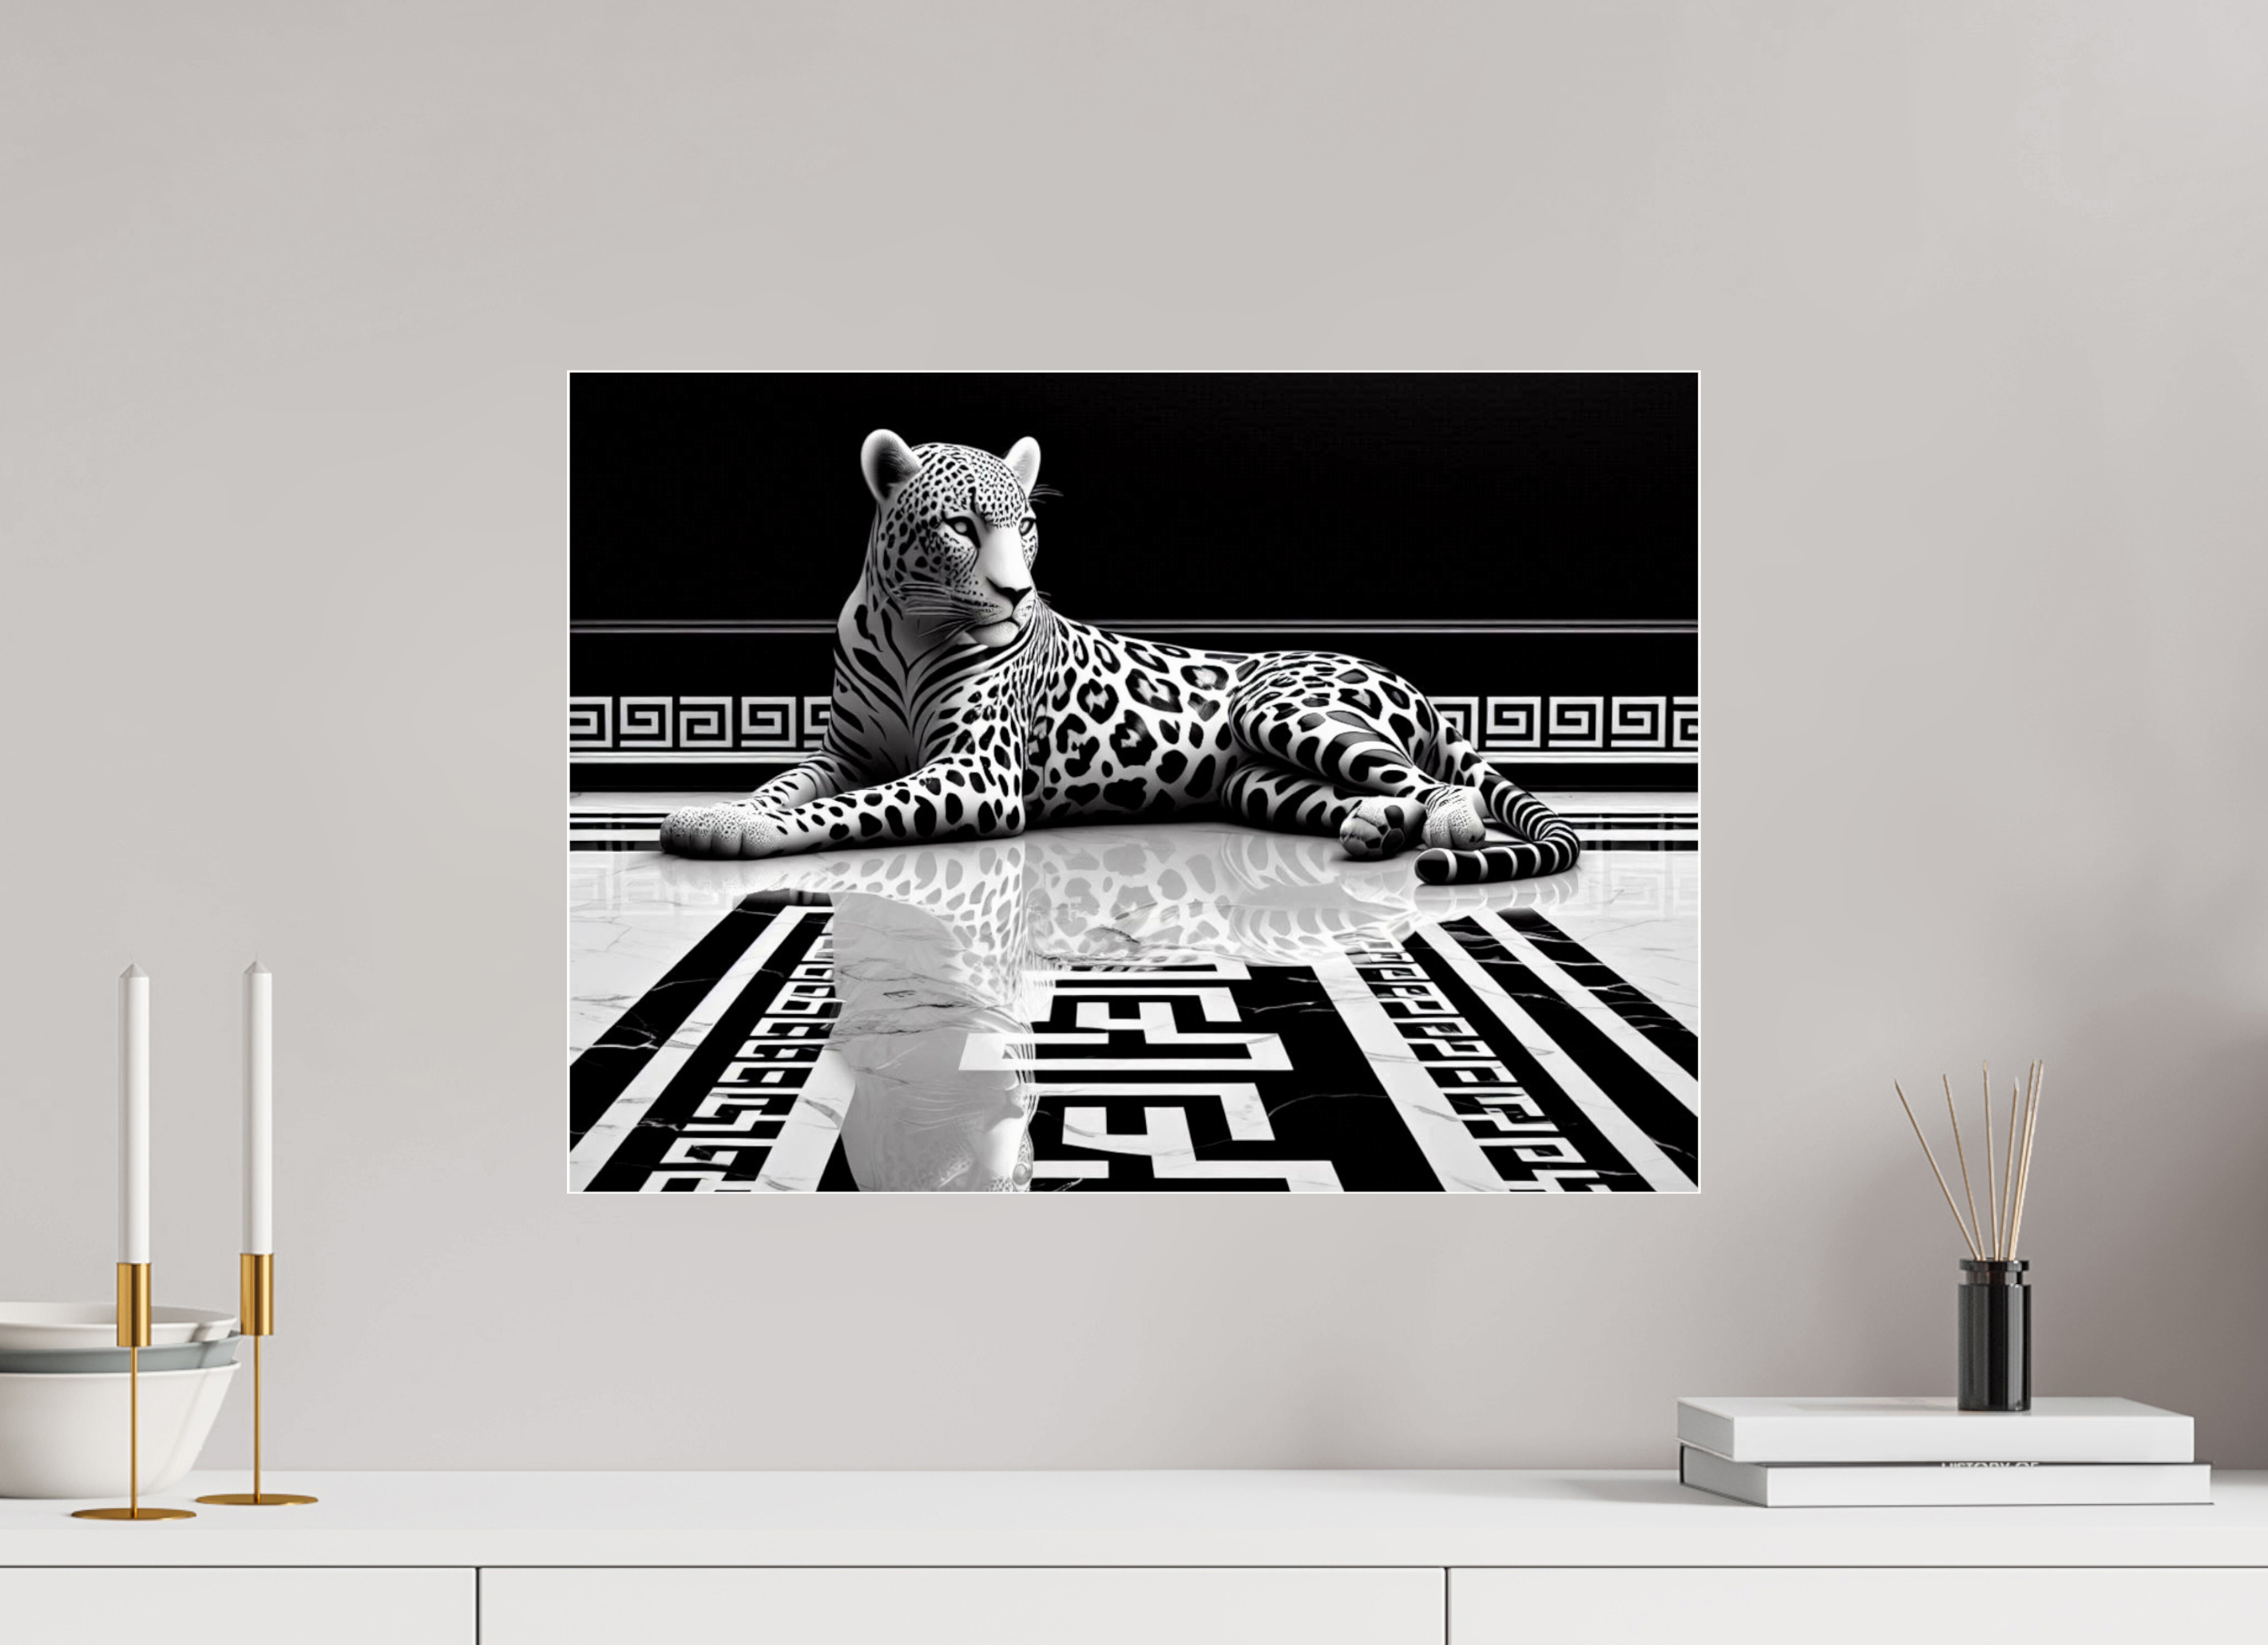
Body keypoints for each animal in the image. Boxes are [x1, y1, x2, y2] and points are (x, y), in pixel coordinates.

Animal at [661, 430, 1581, 885]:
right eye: (961, 526)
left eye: (1027, 526)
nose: (1017, 595)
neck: (908, 626)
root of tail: (1404, 676)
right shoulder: (842, 753)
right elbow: (787, 784)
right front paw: (718, 812)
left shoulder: (975, 775)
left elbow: (844, 808)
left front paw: (747, 832)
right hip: (1256, 779)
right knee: (1368, 793)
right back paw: (1374, 827)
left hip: (1283, 708)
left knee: (1436, 783)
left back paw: (1449, 822)